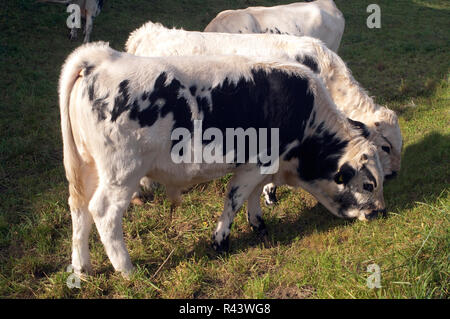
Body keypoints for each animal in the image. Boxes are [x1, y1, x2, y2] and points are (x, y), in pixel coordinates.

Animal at [58, 42, 384, 278]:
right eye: (368, 185)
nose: (380, 212)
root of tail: (102, 58)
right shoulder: (256, 162)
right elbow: (234, 200)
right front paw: (221, 241)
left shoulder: (262, 166)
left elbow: (254, 196)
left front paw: (258, 225)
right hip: (122, 174)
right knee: (103, 212)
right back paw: (127, 269)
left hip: (88, 168)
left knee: (79, 209)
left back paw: (82, 268)